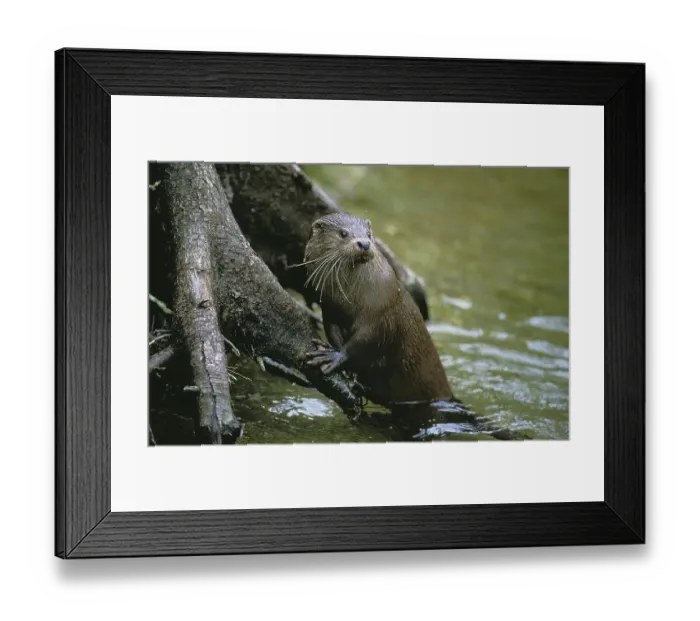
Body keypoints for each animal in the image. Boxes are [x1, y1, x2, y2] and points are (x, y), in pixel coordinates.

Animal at [302, 213, 454, 407]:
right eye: (343, 233)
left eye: (369, 234)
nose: (364, 243)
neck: (351, 299)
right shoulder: (330, 310)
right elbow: (333, 331)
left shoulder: (381, 314)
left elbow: (366, 342)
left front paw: (334, 356)